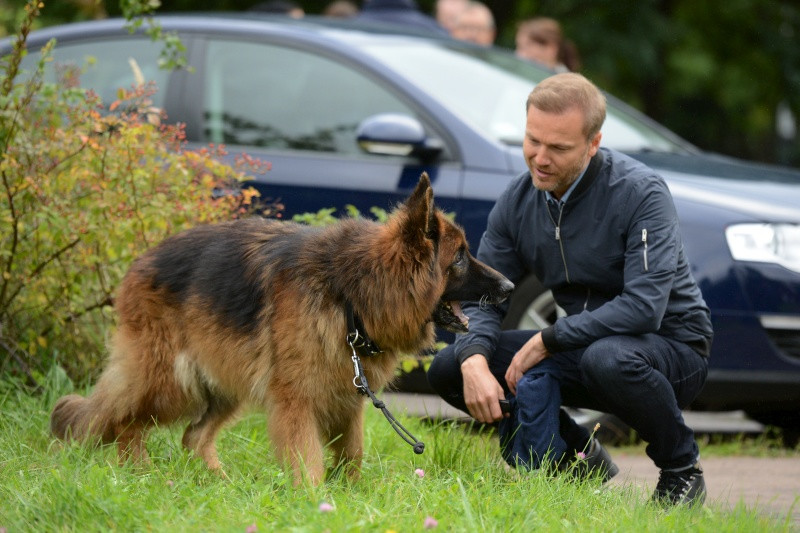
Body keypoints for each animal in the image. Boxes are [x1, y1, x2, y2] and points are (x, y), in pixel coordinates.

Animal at [51, 172, 512, 484]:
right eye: (459, 257)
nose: (509, 288)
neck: (351, 292)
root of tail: (139, 263)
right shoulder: (296, 402)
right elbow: (308, 461)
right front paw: (315, 502)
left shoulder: (348, 400)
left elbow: (353, 455)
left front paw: (352, 497)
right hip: (170, 383)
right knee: (123, 422)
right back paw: (141, 474)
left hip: (222, 387)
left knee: (192, 437)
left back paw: (221, 485)